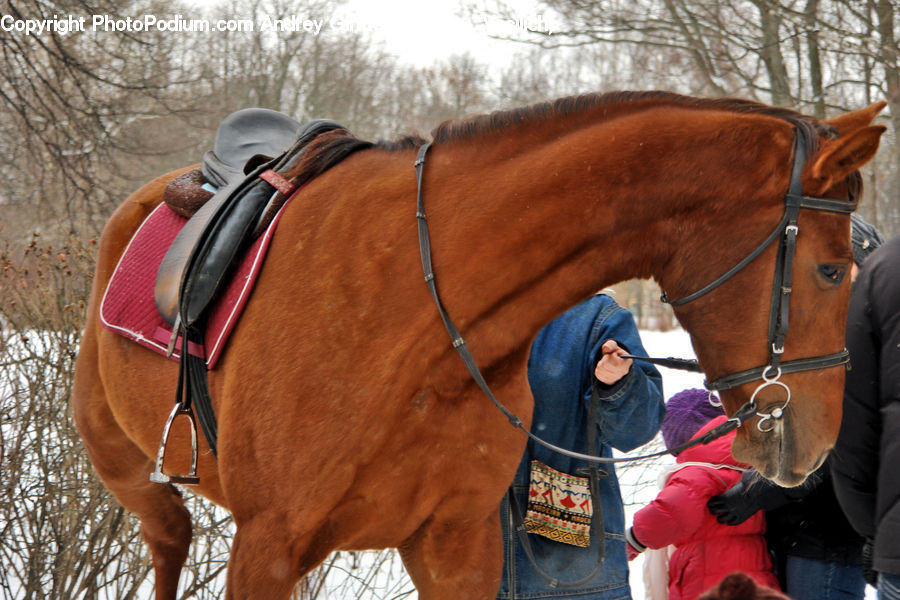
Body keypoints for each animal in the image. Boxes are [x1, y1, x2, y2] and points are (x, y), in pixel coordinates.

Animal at [72, 91, 885, 599]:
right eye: (830, 268)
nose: (819, 444)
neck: (414, 314)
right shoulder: (266, 547)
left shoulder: (455, 544)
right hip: (125, 466)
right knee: (168, 538)